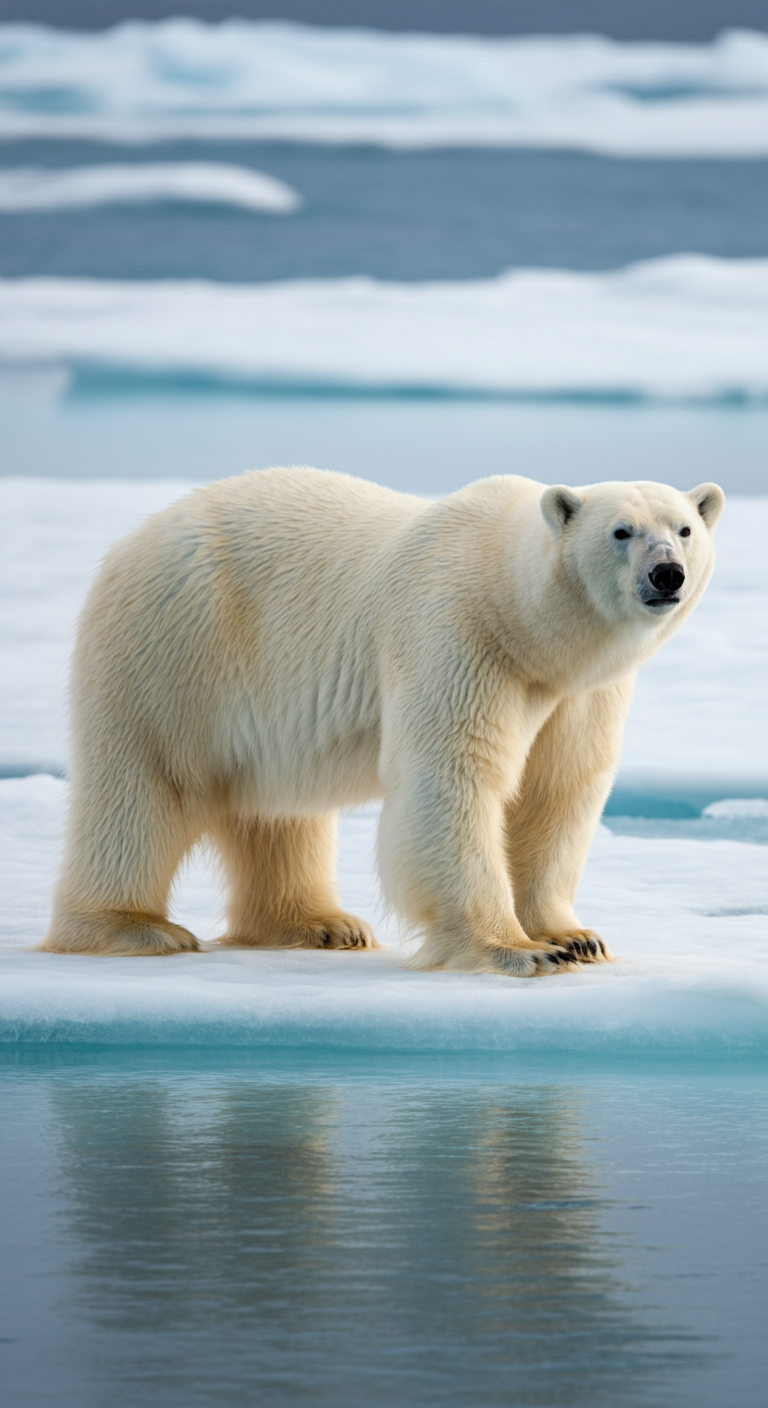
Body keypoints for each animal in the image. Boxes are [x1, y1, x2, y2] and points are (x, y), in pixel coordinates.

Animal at [41, 468, 724, 975]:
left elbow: (558, 788)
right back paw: (133, 928)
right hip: (177, 648)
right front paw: (516, 950)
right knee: (144, 785)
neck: (519, 617)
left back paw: (320, 924)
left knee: (275, 810)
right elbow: (451, 776)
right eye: (621, 531)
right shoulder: (457, 635)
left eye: (685, 528)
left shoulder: (577, 692)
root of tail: (136, 537)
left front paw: (575, 937)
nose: (667, 574)